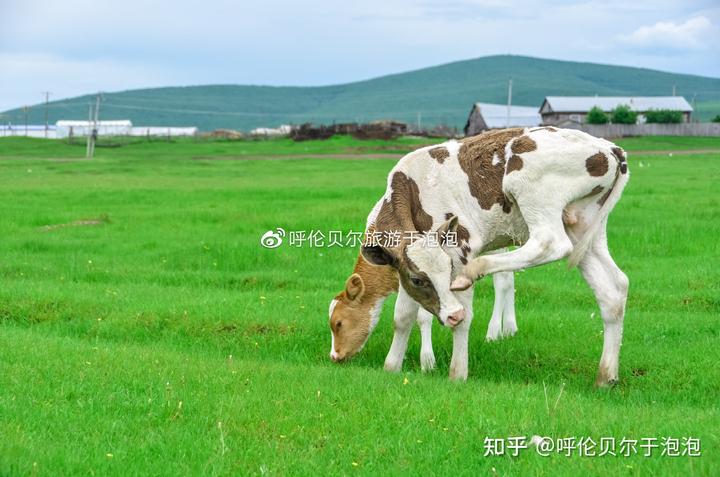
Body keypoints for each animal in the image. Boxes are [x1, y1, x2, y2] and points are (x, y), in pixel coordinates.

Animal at [362, 125, 628, 384]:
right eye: (417, 280)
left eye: (449, 269)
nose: (452, 314)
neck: (413, 189)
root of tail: (610, 148)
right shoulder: (405, 267)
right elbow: (403, 316)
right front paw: (391, 367)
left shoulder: (460, 246)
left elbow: (463, 319)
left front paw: (458, 374)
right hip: (583, 227)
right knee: (614, 289)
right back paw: (606, 376)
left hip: (530, 189)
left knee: (550, 243)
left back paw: (476, 269)